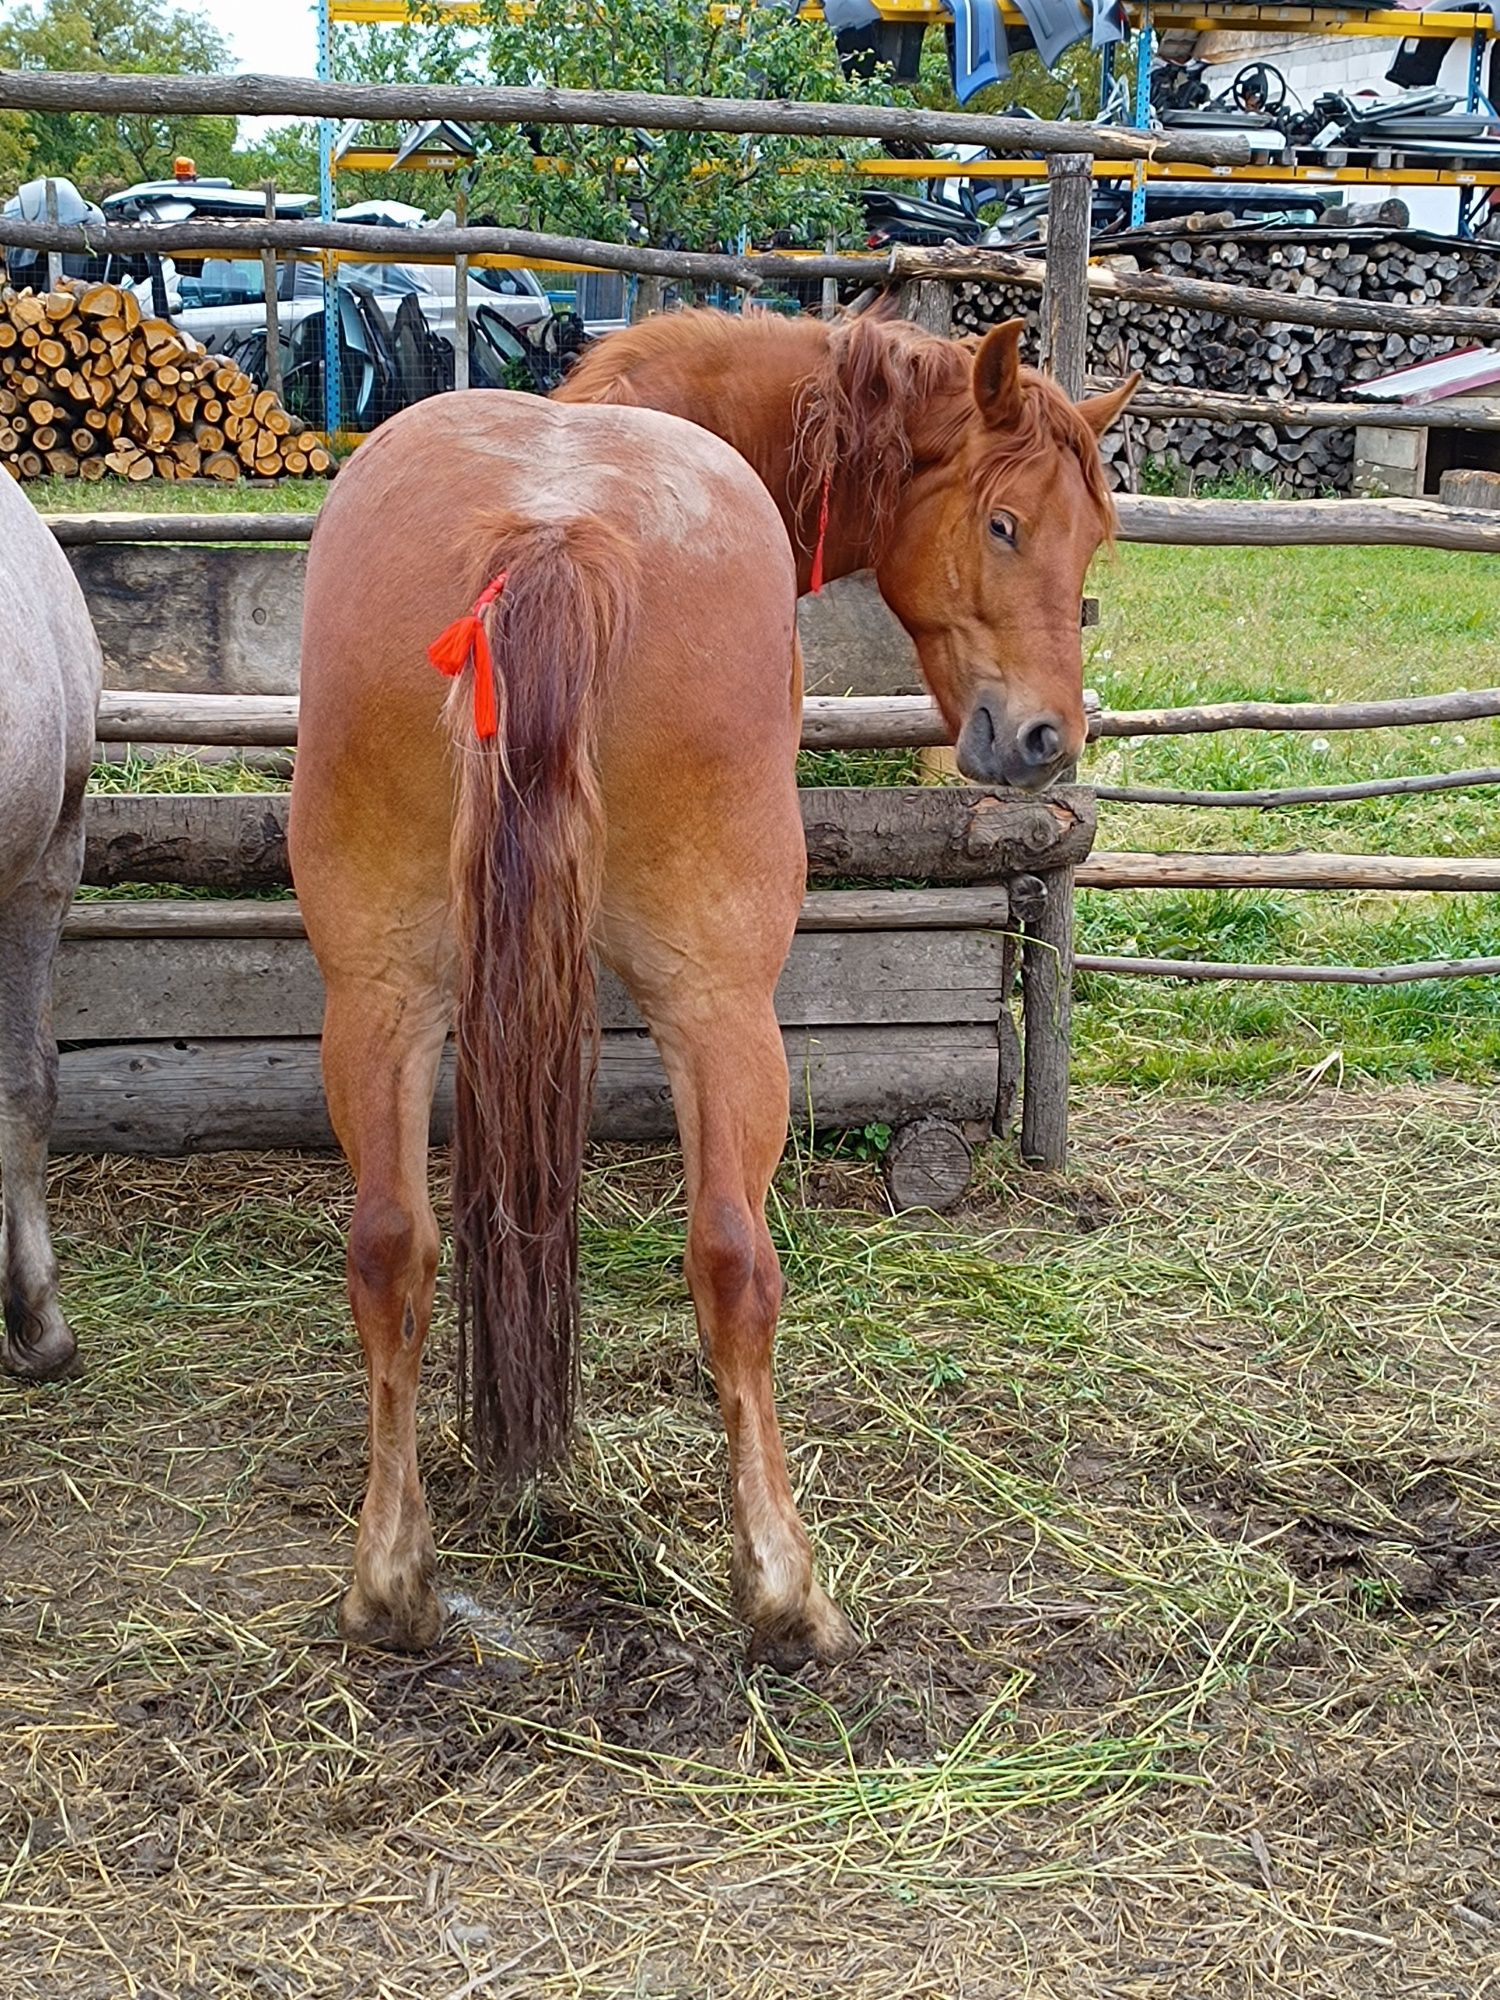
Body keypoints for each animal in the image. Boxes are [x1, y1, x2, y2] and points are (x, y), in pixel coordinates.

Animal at [294, 312, 1136, 1664]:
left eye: (1091, 537)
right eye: (1006, 523)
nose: (1046, 739)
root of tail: (554, 532)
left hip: (376, 992)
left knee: (389, 1246)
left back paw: (393, 1581)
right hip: (723, 1004)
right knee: (734, 1256)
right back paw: (785, 1588)